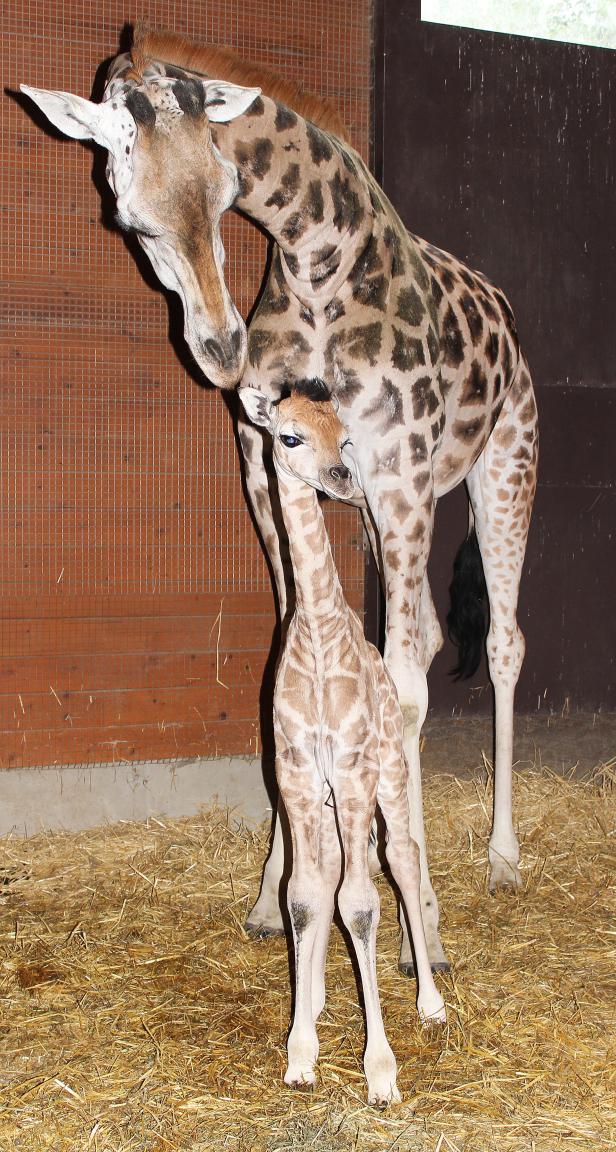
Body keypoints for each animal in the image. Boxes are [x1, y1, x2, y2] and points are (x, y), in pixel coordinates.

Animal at [21, 22, 536, 967]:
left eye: (229, 190)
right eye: (129, 217)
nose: (221, 350)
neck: (317, 257)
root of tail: (503, 309)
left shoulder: (399, 465)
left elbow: (404, 685)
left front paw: (421, 924)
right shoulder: (266, 464)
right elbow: (287, 651)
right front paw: (272, 893)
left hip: (501, 467)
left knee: (499, 643)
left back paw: (501, 860)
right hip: (381, 506)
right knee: (428, 634)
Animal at [238, 377, 446, 1105]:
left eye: (346, 436)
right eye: (290, 435)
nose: (340, 477)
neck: (323, 638)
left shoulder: (354, 772)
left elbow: (360, 902)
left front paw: (380, 1071)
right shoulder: (299, 775)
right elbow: (304, 895)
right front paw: (300, 1050)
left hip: (386, 777)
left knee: (403, 858)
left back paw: (432, 1001)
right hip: (329, 799)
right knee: (326, 873)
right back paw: (321, 994)